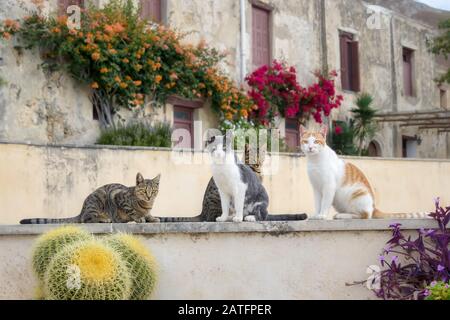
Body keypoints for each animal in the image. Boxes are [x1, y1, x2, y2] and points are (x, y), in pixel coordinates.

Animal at [21, 174, 162, 224]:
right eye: (144, 191)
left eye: (153, 191)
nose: (149, 196)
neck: (145, 205)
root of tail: (82, 210)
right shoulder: (118, 196)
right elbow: (131, 211)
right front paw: (138, 217)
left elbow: (148, 214)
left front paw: (152, 217)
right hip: (98, 199)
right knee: (86, 219)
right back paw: (104, 219)